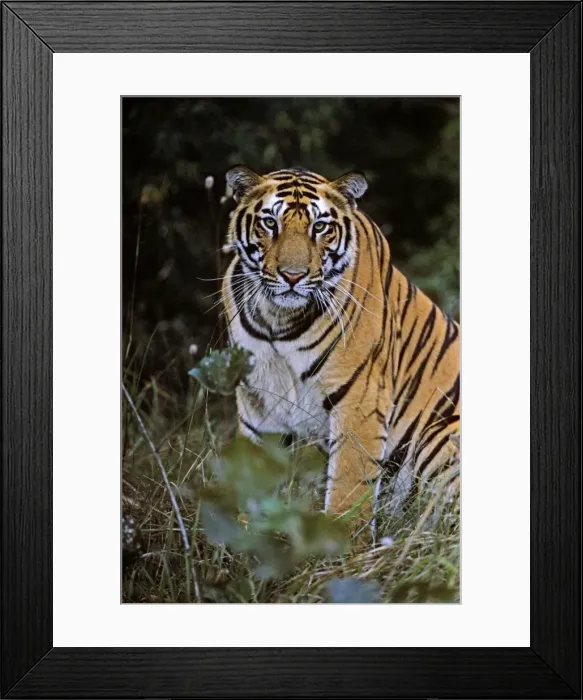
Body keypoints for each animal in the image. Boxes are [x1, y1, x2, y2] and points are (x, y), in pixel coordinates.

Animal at [221, 165, 460, 539]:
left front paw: (339, 547)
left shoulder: (361, 398)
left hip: (438, 435)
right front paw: (240, 539)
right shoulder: (257, 398)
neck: (278, 319)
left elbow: (349, 486)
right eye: (270, 223)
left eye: (319, 227)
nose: (292, 276)